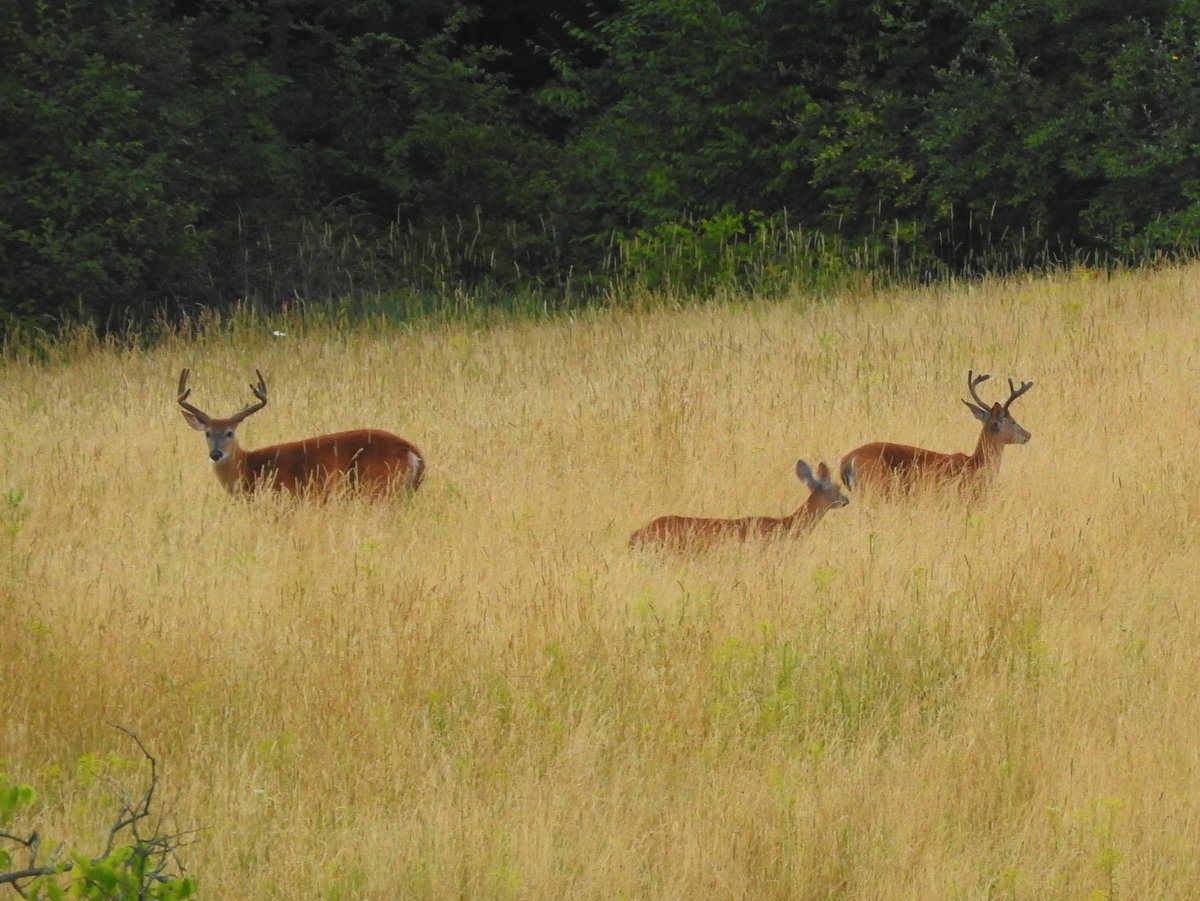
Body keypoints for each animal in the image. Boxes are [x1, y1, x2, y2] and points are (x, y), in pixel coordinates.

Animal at [175, 369, 424, 503]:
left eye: (230, 432)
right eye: (207, 433)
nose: (216, 454)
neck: (250, 468)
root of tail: (414, 452)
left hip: (378, 488)